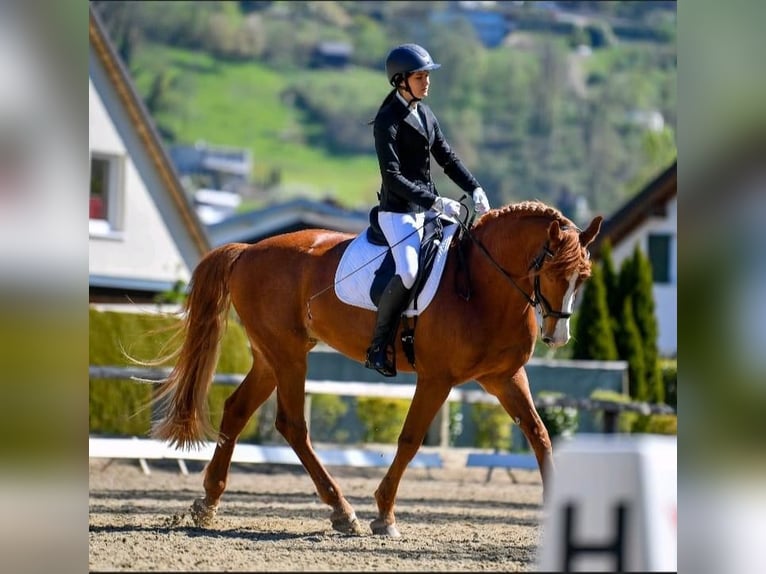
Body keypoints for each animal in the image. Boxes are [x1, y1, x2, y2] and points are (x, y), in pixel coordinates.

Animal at [152, 200, 608, 536]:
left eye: (582, 277)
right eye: (549, 270)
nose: (557, 337)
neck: (482, 287)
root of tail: (248, 250)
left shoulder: (504, 378)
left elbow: (540, 435)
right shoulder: (437, 378)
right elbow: (409, 440)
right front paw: (384, 515)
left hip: (271, 356)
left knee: (237, 410)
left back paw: (208, 503)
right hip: (288, 354)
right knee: (292, 425)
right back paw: (343, 512)